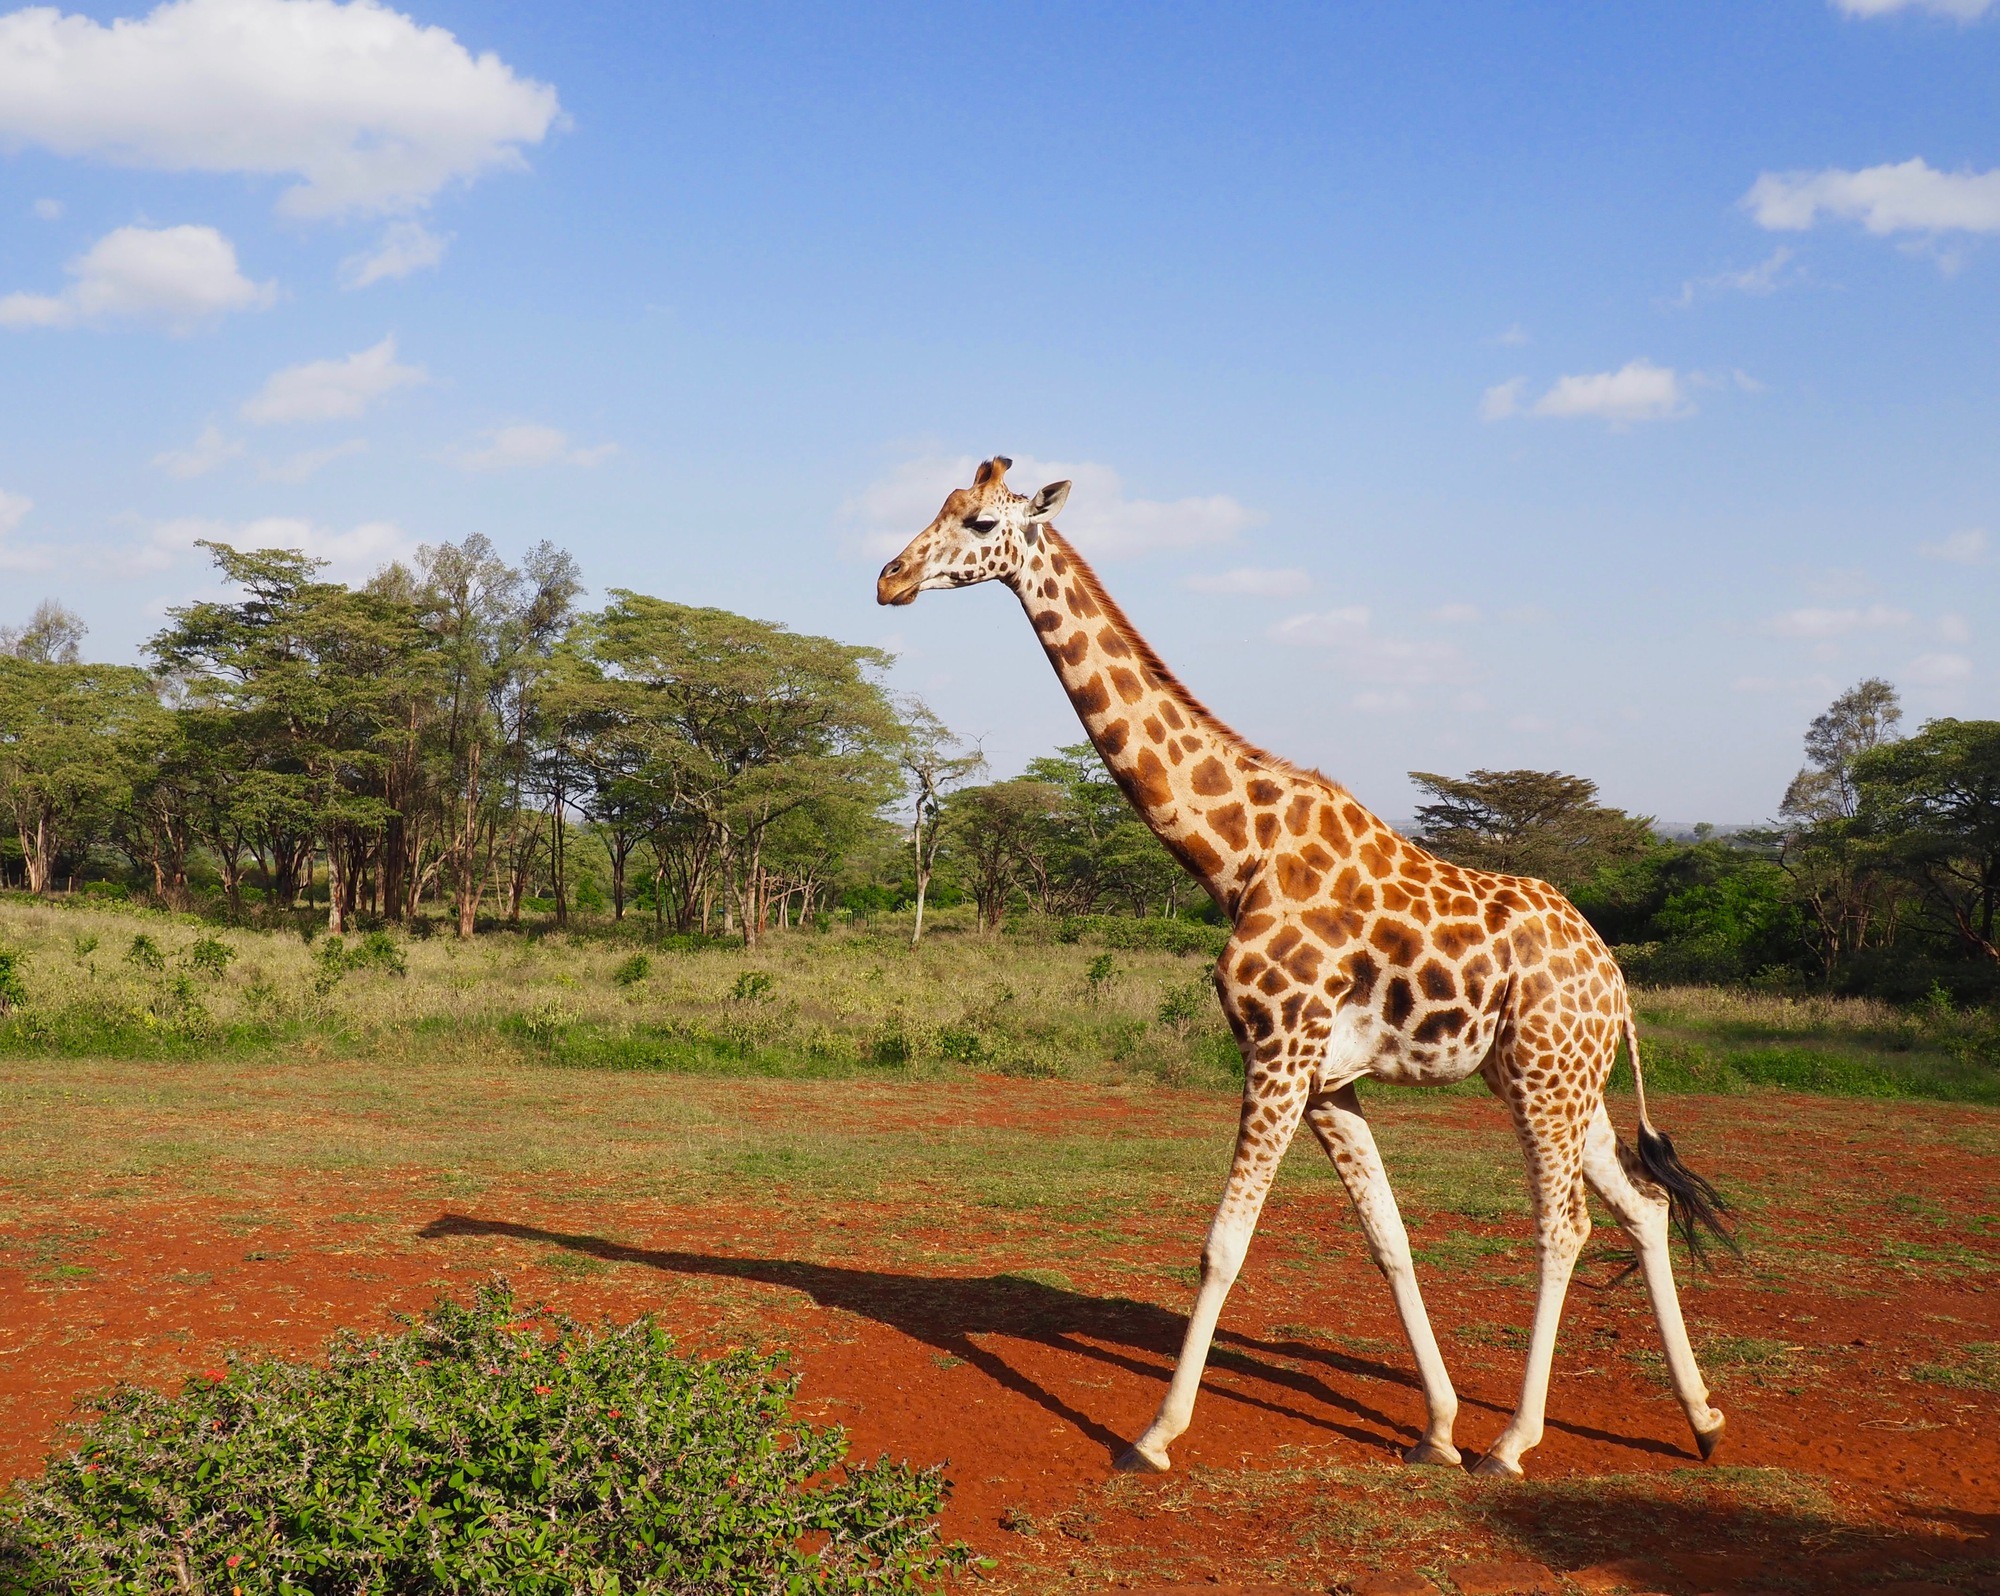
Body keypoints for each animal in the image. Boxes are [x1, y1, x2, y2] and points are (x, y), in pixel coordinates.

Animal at [876, 456, 1736, 1480]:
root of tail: (1614, 978)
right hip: (1561, 1079)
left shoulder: (1279, 1050)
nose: (888, 578)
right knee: (1645, 1206)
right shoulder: (1328, 1078)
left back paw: (1516, 1442)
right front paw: (1436, 1428)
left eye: (976, 521)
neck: (1233, 853)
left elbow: (1223, 1244)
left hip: (1543, 1078)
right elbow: (1388, 1240)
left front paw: (1154, 1435)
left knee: (1566, 1225)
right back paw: (1701, 1420)